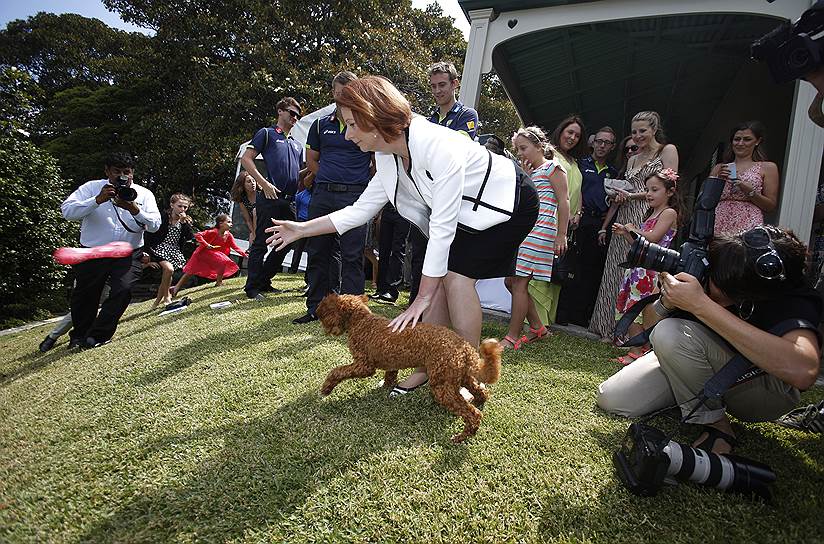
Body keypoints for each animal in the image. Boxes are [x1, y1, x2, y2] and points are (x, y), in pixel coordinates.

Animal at [318, 294, 502, 442]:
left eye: (325, 313)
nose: (316, 314)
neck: (361, 321)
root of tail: (464, 346)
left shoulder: (364, 366)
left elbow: (337, 371)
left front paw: (327, 388)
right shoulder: (391, 362)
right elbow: (390, 375)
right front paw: (387, 387)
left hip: (442, 386)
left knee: (472, 414)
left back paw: (462, 436)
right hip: (459, 375)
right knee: (480, 390)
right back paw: (479, 401)